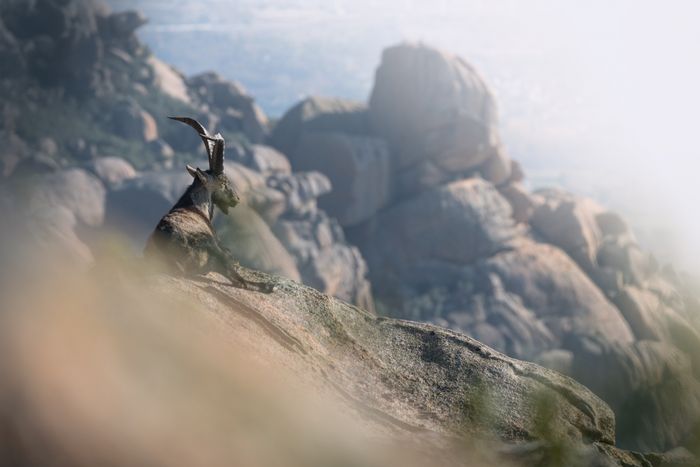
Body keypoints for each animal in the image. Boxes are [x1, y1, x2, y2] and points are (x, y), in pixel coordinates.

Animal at [146, 117, 274, 292]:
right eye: (223, 182)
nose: (236, 199)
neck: (195, 207)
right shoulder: (218, 243)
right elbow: (230, 256)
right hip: (212, 248)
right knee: (237, 279)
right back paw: (268, 286)